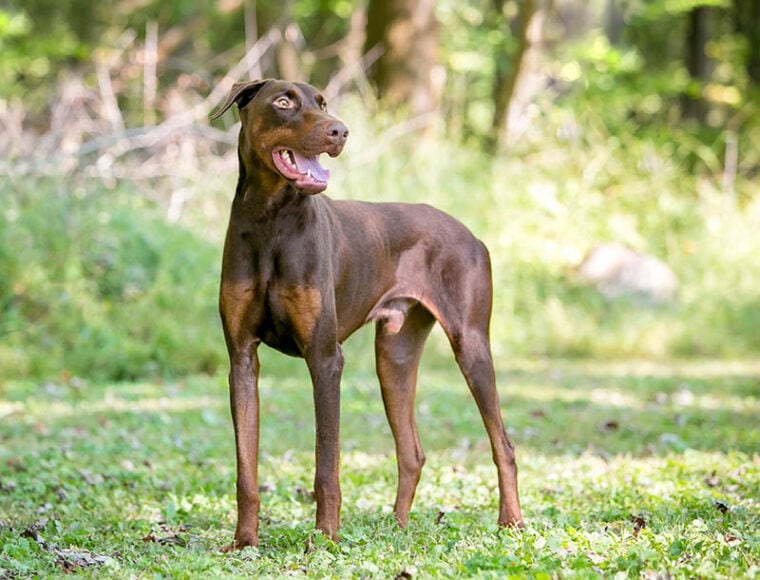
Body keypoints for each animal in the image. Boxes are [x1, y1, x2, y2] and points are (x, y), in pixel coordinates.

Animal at [211, 80, 524, 548]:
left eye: (322, 102)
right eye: (283, 101)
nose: (339, 131)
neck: (271, 221)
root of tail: (472, 234)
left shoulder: (325, 358)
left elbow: (327, 466)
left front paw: (325, 539)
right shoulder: (242, 360)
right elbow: (246, 468)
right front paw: (245, 542)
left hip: (471, 344)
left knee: (503, 442)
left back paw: (512, 522)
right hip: (394, 357)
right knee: (412, 453)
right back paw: (397, 527)